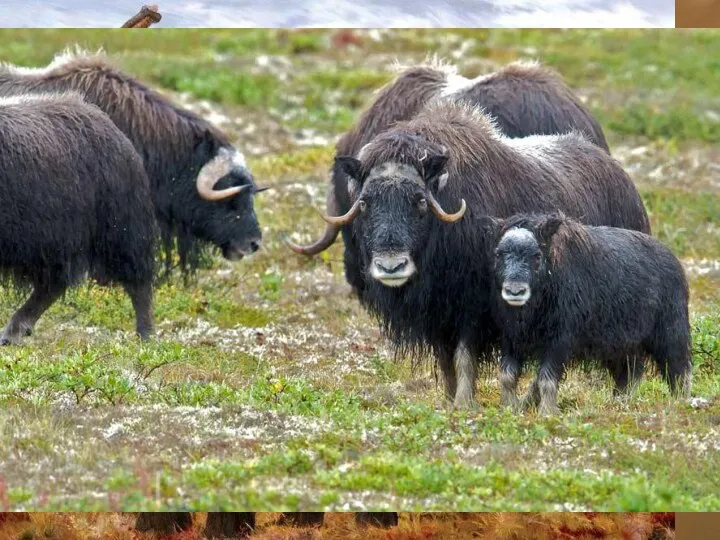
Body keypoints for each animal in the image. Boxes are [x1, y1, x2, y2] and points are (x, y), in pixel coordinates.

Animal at [330, 99, 648, 408]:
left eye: (419, 200)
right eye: (365, 202)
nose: (391, 266)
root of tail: (623, 177)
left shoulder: (473, 305)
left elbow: (464, 356)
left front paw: (465, 404)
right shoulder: (438, 314)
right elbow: (445, 360)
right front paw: (450, 401)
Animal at [486, 213, 688, 416]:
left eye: (536, 255)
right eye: (498, 254)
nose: (515, 291)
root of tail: (673, 258)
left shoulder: (559, 341)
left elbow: (546, 379)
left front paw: (547, 413)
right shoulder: (511, 340)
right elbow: (507, 376)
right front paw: (509, 409)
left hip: (671, 333)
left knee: (678, 369)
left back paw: (680, 403)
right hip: (623, 346)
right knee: (630, 373)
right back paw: (619, 403)